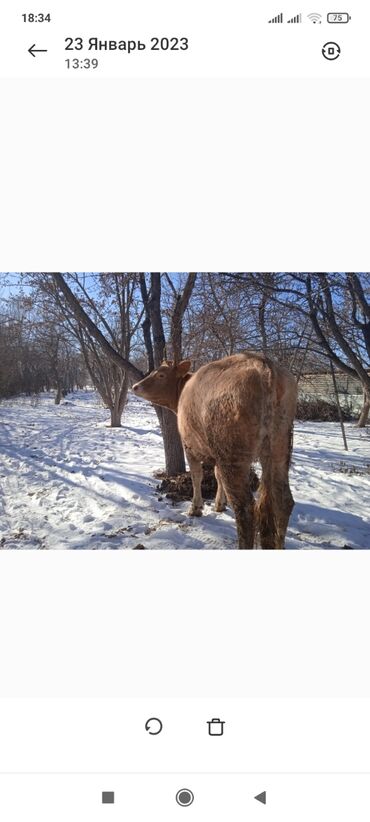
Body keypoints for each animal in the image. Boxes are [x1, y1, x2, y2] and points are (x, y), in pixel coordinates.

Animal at [133, 352, 298, 552]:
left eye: (161, 375)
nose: (135, 386)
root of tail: (263, 365)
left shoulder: (190, 446)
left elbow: (197, 476)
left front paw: (196, 508)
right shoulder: (217, 454)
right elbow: (217, 475)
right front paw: (220, 504)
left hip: (232, 453)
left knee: (245, 508)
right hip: (280, 447)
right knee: (284, 501)